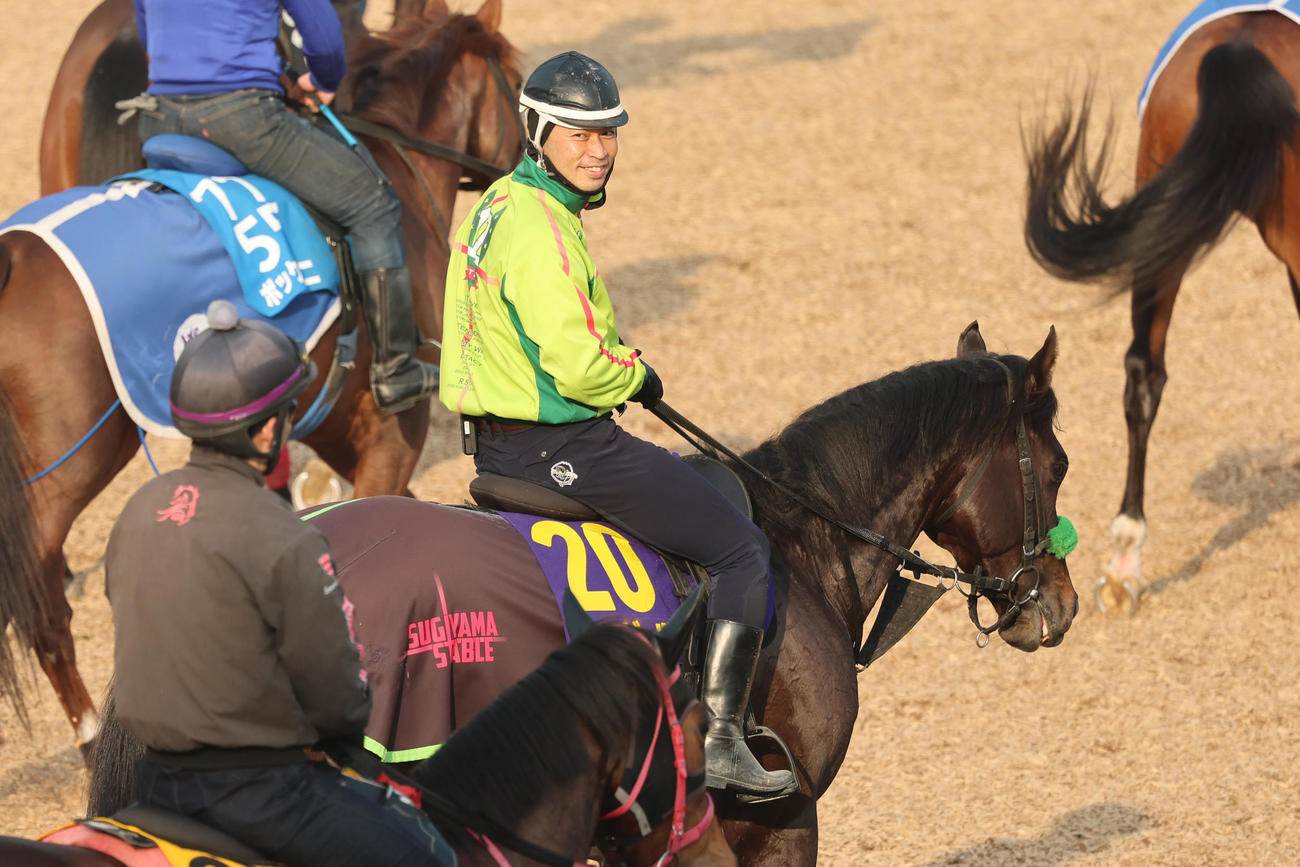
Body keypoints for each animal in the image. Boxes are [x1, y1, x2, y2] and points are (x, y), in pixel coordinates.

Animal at [0, 0, 522, 752]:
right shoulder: (390, 436)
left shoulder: (331, 430)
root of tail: (14, 256)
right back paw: (93, 729)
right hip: (71, 461)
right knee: (39, 595)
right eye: (518, 79)